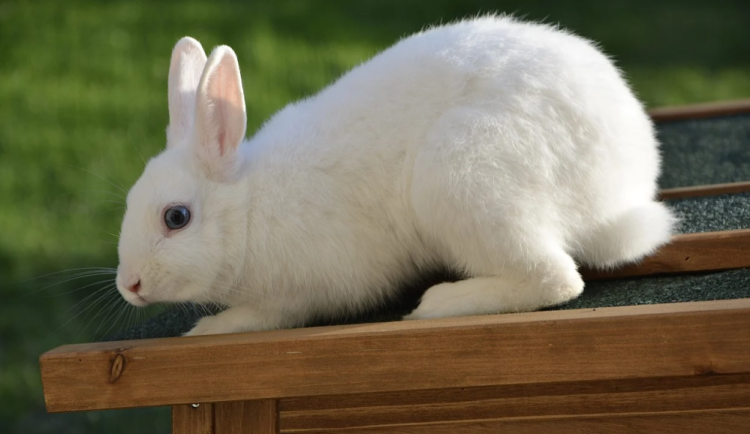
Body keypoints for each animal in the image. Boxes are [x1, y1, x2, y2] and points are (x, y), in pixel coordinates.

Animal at [116, 15, 676, 336]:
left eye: (176, 217)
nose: (130, 285)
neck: (251, 206)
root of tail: (618, 197)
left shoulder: (298, 294)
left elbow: (264, 318)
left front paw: (208, 328)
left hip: (462, 179)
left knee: (556, 279)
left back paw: (439, 304)